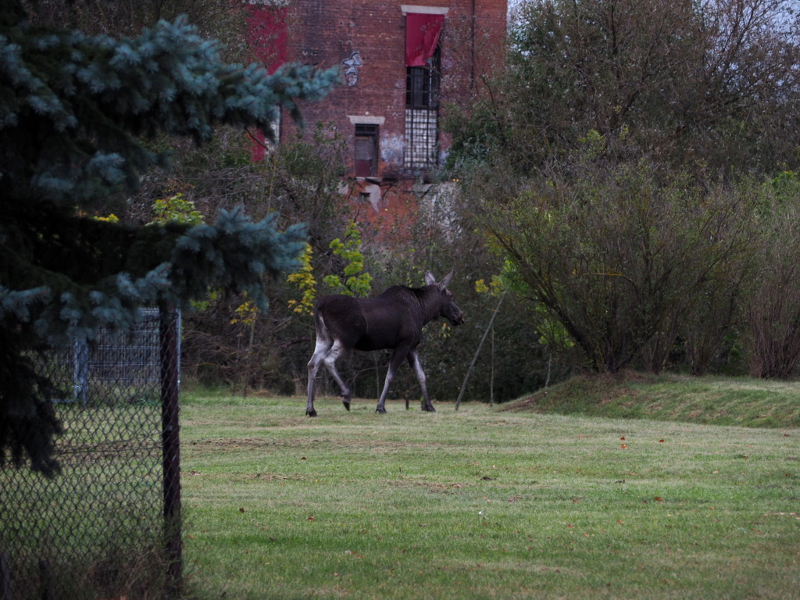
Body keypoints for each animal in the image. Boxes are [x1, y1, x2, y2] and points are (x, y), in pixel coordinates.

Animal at [308, 274, 468, 418]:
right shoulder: (403, 343)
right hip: (346, 339)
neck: (424, 312)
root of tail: (320, 307)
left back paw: (311, 409)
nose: (460, 316)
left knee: (312, 363)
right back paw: (346, 396)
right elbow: (390, 376)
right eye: (450, 295)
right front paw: (380, 407)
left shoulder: (412, 346)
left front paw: (429, 406)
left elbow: (421, 375)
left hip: (324, 338)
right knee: (328, 360)